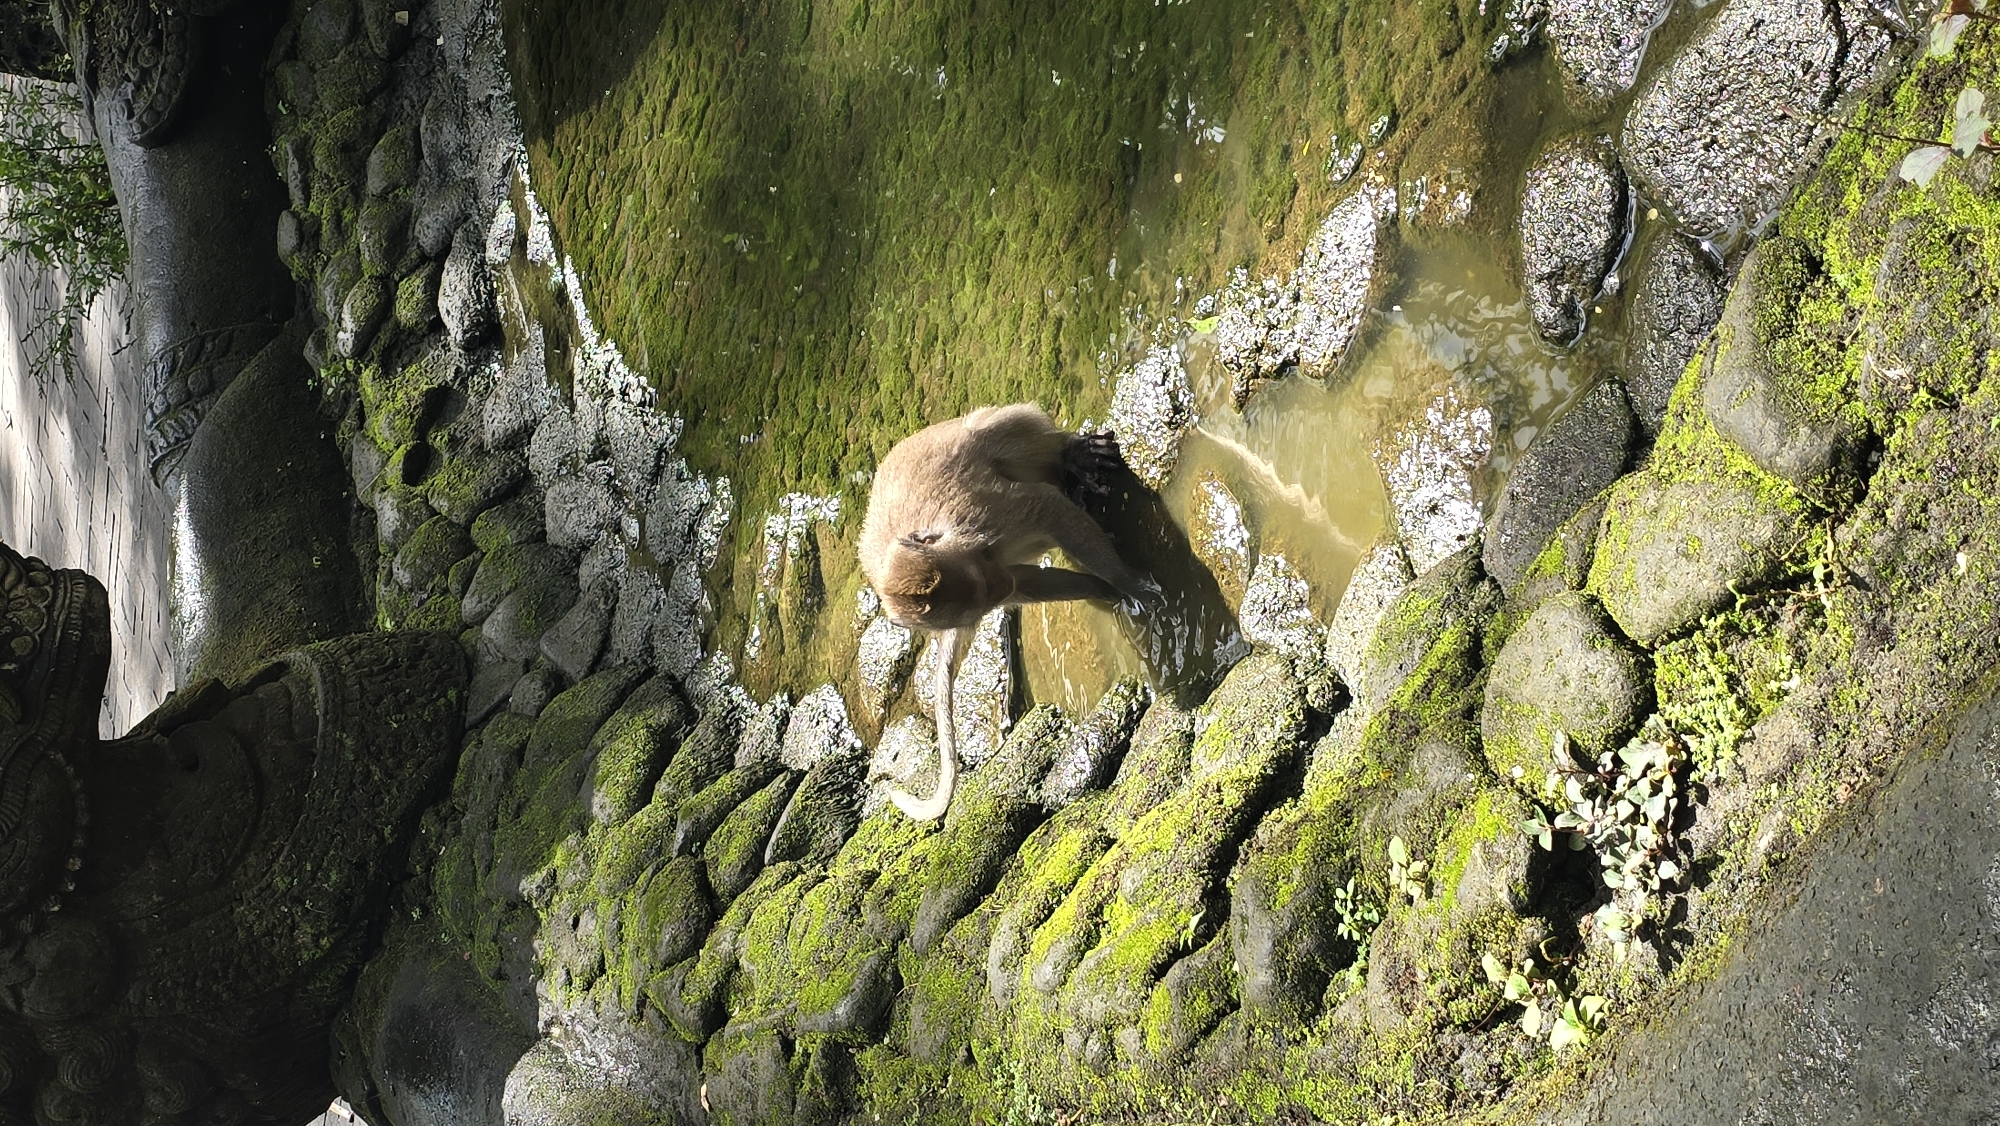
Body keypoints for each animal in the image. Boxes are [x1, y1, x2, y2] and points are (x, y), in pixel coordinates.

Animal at [859, 403, 1157, 821]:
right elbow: (1030, 581)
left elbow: (1048, 511)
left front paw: (1130, 585)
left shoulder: (982, 513)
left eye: (982, 565)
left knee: (991, 432)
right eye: (981, 602)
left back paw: (1072, 459)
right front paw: (1114, 593)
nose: (1001, 586)